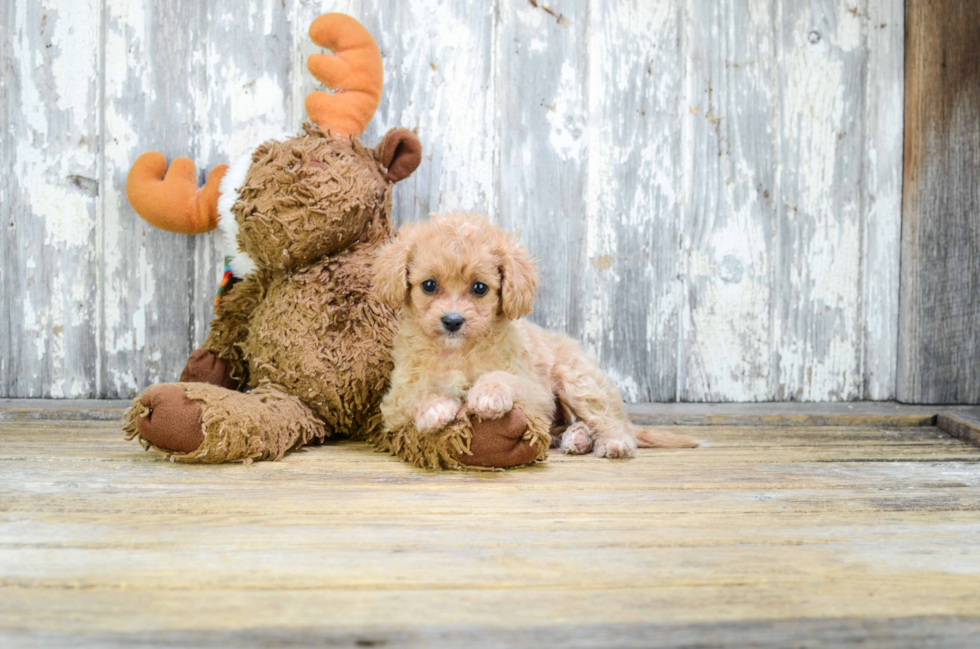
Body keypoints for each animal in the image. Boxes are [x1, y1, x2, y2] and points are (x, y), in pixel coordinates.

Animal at [370, 213, 696, 456]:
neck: (457, 351)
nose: (452, 321)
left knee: (610, 419)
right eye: (429, 285)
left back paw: (611, 442)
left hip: (576, 379)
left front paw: (488, 393)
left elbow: (506, 378)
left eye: (479, 288)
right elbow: (415, 395)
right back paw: (578, 438)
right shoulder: (394, 398)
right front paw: (435, 407)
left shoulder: (535, 393)